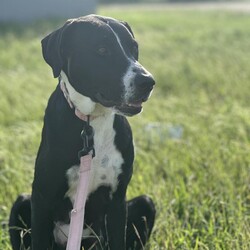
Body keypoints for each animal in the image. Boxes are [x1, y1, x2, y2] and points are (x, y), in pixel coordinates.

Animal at [8, 14, 155, 249]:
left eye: (134, 48)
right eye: (102, 50)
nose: (148, 82)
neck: (91, 122)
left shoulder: (117, 200)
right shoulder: (41, 198)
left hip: (145, 203)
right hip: (22, 202)